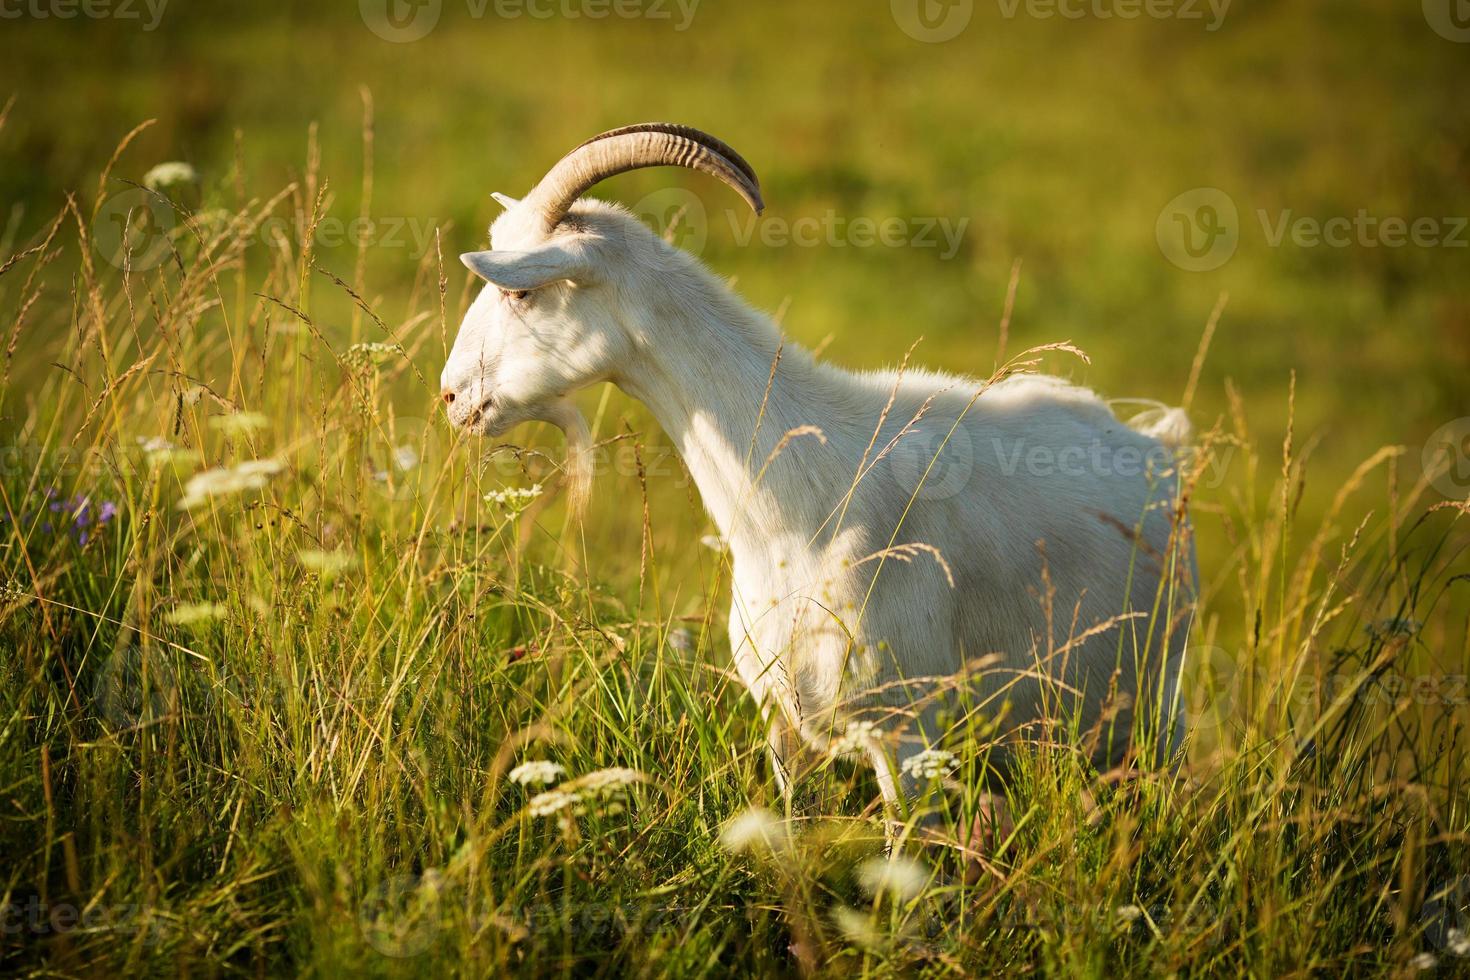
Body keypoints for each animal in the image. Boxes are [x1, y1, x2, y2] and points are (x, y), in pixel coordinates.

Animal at [441, 128, 1199, 822]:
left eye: (523, 293)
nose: (451, 396)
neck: (802, 505)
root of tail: (1158, 442)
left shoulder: (905, 733)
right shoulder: (783, 720)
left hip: (1156, 695)